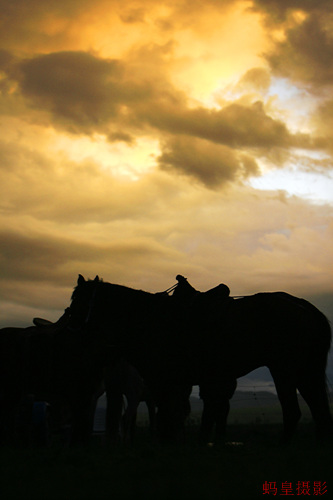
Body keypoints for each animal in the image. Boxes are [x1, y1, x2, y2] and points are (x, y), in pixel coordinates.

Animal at [68, 276, 330, 444]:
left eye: (77, 301)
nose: (70, 330)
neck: (149, 320)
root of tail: (305, 307)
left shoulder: (165, 384)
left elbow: (167, 421)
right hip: (306, 372)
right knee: (318, 411)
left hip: (284, 371)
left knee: (293, 411)